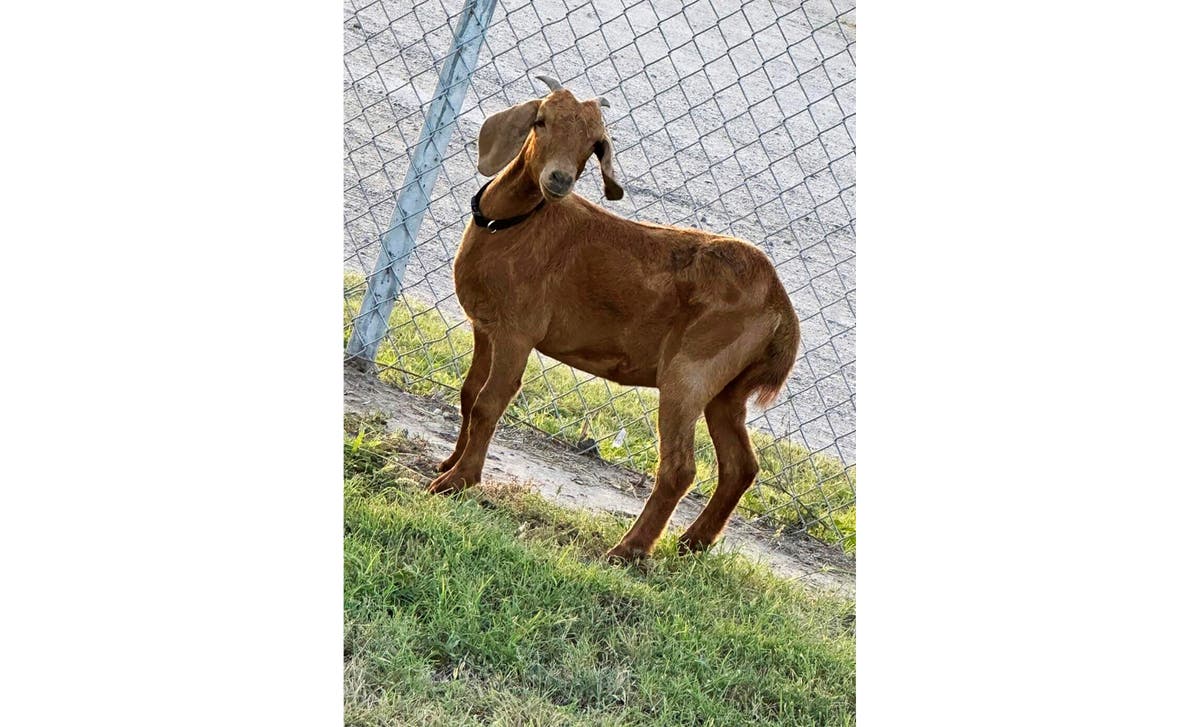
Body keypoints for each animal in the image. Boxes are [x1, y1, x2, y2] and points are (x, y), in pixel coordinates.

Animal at [429, 75, 801, 562]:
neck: (515, 225)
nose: (560, 180)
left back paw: (629, 550)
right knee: (741, 466)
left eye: (594, 145)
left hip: (690, 372)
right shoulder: (485, 328)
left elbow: (491, 402)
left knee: (680, 468)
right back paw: (691, 544)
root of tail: (780, 304)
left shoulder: (517, 332)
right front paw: (448, 463)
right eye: (541, 120)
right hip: (727, 390)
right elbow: (469, 394)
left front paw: (457, 482)